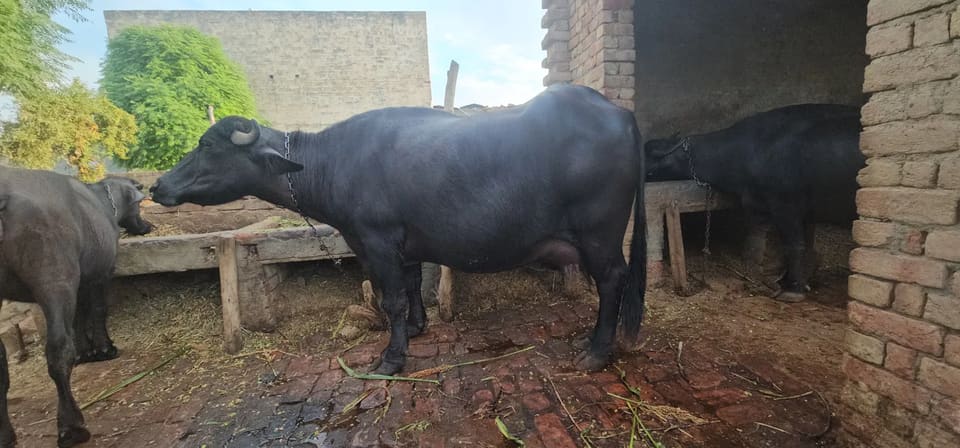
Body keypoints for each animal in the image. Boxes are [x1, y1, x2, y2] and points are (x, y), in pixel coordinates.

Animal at [0, 167, 153, 447]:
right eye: (138, 205)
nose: (147, 226)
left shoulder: (81, 283)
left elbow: (79, 319)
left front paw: (85, 352)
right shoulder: (101, 275)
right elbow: (98, 311)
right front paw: (104, 349)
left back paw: (6, 435)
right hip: (55, 281)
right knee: (58, 350)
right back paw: (72, 427)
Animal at [151, 84, 647, 375]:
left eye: (208, 145)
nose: (158, 186)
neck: (333, 163)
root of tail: (619, 113)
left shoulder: (375, 241)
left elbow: (390, 299)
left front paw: (391, 358)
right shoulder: (405, 245)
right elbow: (409, 288)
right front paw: (418, 327)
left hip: (599, 233)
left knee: (613, 279)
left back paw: (596, 352)